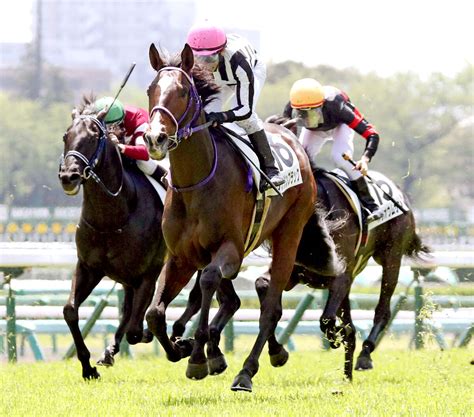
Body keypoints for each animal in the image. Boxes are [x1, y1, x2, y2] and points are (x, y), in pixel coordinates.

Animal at [57, 96, 167, 378]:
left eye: (94, 137)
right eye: (66, 135)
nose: (68, 176)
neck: (112, 217)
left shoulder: (149, 273)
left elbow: (136, 329)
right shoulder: (88, 267)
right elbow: (70, 310)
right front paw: (87, 366)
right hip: (126, 278)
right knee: (127, 312)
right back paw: (109, 352)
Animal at [143, 44, 316, 392]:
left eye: (183, 91)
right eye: (150, 89)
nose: (155, 138)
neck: (197, 183)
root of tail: (289, 133)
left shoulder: (230, 249)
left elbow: (209, 281)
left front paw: (197, 356)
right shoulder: (181, 256)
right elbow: (154, 313)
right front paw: (181, 347)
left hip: (290, 231)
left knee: (270, 307)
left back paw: (246, 371)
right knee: (238, 301)